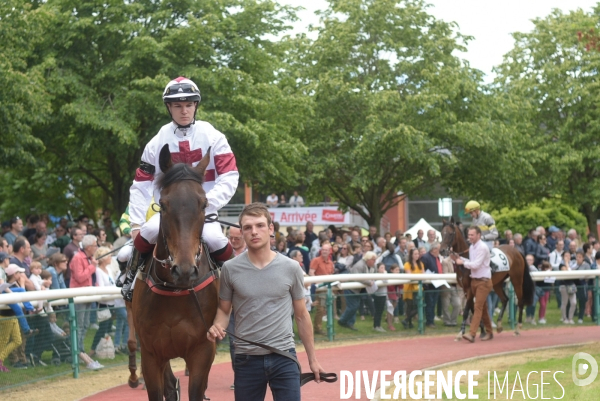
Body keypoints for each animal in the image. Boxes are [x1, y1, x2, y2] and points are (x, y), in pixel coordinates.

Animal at [131, 145, 218, 400]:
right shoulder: (151, 354)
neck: (176, 291)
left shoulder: (203, 350)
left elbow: (197, 390)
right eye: (163, 203)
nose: (185, 270)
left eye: (204, 204)